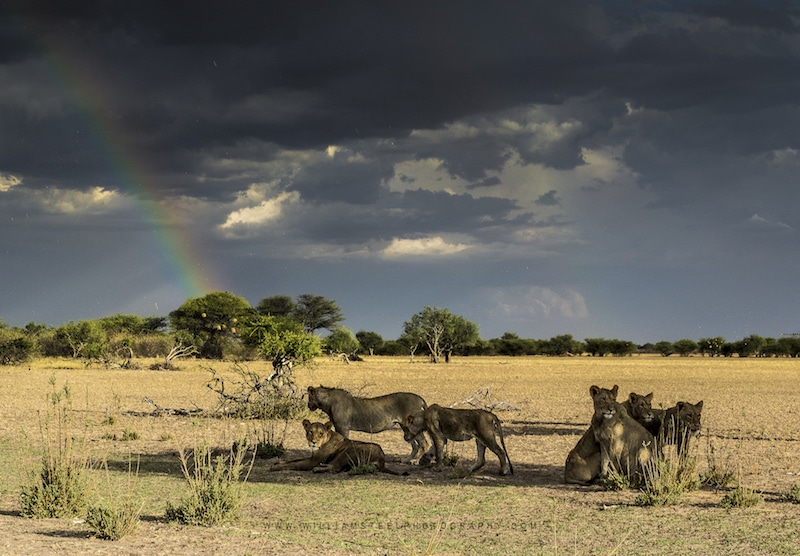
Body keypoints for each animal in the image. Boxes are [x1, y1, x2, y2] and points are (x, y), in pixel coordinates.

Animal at [268, 420, 406, 476]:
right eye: (310, 432)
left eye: (320, 433)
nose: (313, 442)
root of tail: (382, 458)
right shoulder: (312, 458)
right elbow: (293, 460)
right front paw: (278, 462)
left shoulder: (312, 461)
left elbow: (294, 464)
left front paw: (275, 467)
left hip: (348, 451)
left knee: (336, 468)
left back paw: (318, 469)